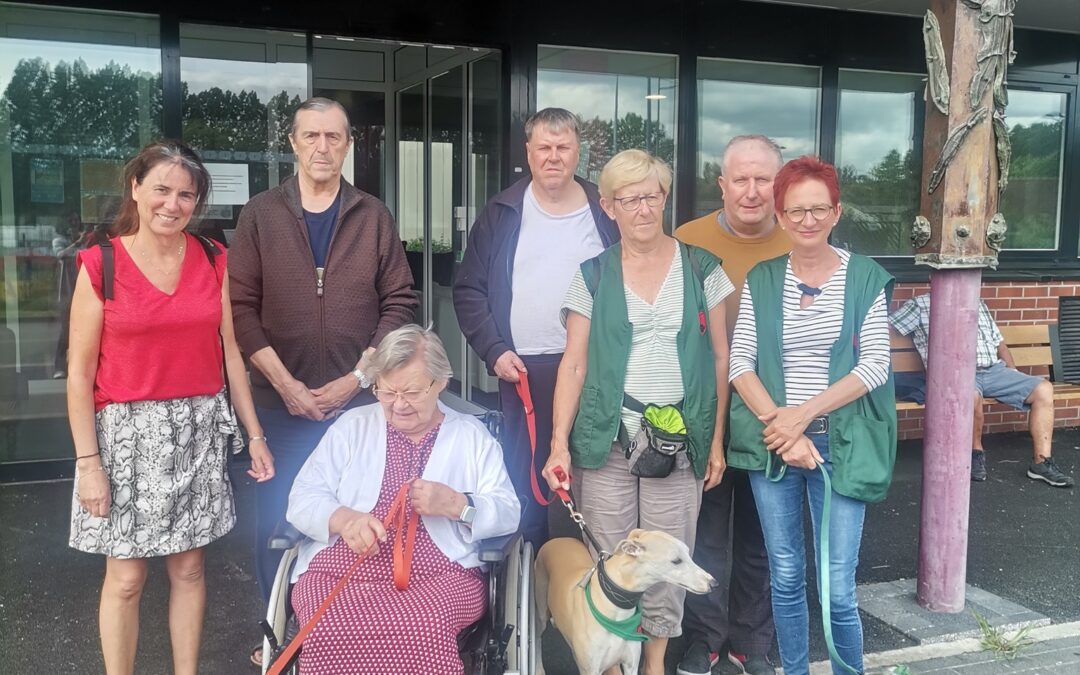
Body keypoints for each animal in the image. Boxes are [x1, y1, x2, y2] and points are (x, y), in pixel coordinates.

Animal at [533, 529, 717, 673]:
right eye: (676, 560)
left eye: (687, 552)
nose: (714, 583)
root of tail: (556, 539)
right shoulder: (590, 669)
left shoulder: (631, 664)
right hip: (539, 611)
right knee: (537, 637)